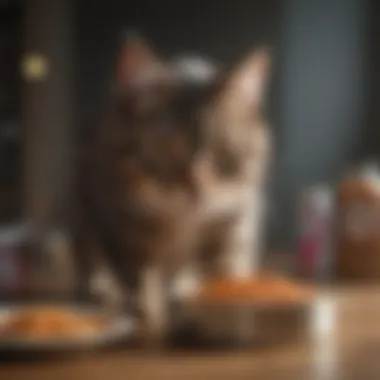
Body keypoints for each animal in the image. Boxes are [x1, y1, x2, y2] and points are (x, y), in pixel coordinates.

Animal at [72, 31, 274, 342]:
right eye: (167, 150)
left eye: (222, 155)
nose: (197, 191)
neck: (180, 221)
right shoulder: (115, 220)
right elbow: (138, 277)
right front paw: (148, 320)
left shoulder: (235, 217)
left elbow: (223, 269)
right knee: (91, 259)